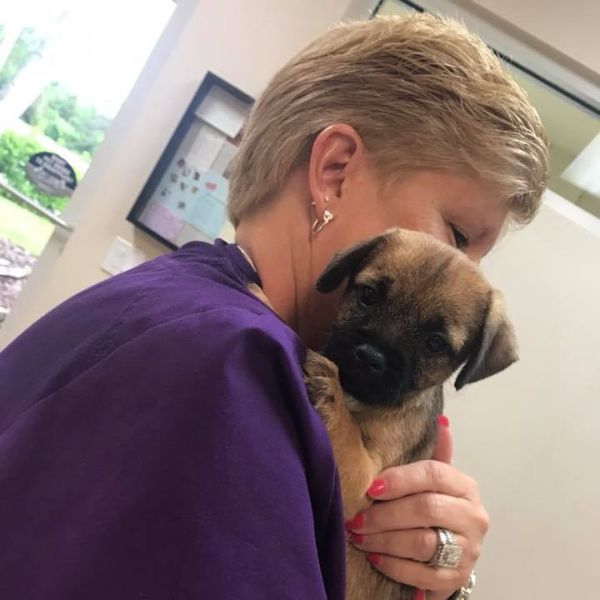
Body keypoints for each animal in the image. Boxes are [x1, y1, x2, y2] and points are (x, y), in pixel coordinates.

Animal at [302, 229, 516, 600]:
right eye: (369, 295)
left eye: (435, 343)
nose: (368, 356)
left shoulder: (366, 485)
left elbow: (345, 432)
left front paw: (330, 387)